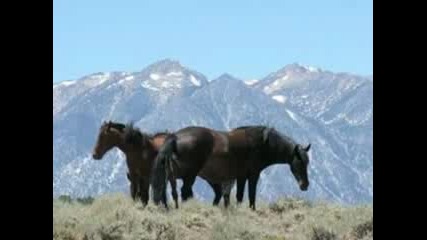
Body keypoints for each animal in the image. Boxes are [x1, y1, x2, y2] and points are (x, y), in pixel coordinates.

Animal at [150, 125, 310, 210]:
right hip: (190, 175)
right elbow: (251, 195)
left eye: (307, 162)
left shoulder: (240, 177)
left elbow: (239, 196)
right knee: (184, 192)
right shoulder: (253, 175)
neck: (263, 144)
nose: (305, 185)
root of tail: (175, 137)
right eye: (300, 162)